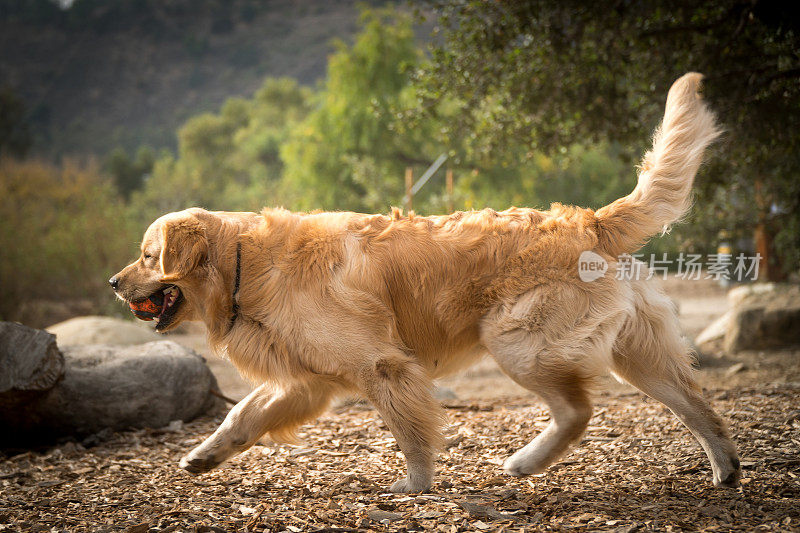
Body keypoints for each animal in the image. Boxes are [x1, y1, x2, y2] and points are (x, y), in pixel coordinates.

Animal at [109, 72, 740, 492]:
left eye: (147, 255)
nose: (114, 282)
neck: (246, 263)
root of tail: (589, 219)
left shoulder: (382, 365)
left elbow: (409, 431)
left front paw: (414, 486)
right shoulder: (307, 381)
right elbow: (242, 414)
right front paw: (203, 455)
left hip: (517, 342)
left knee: (579, 409)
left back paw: (524, 462)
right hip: (636, 353)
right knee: (698, 406)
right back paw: (726, 470)